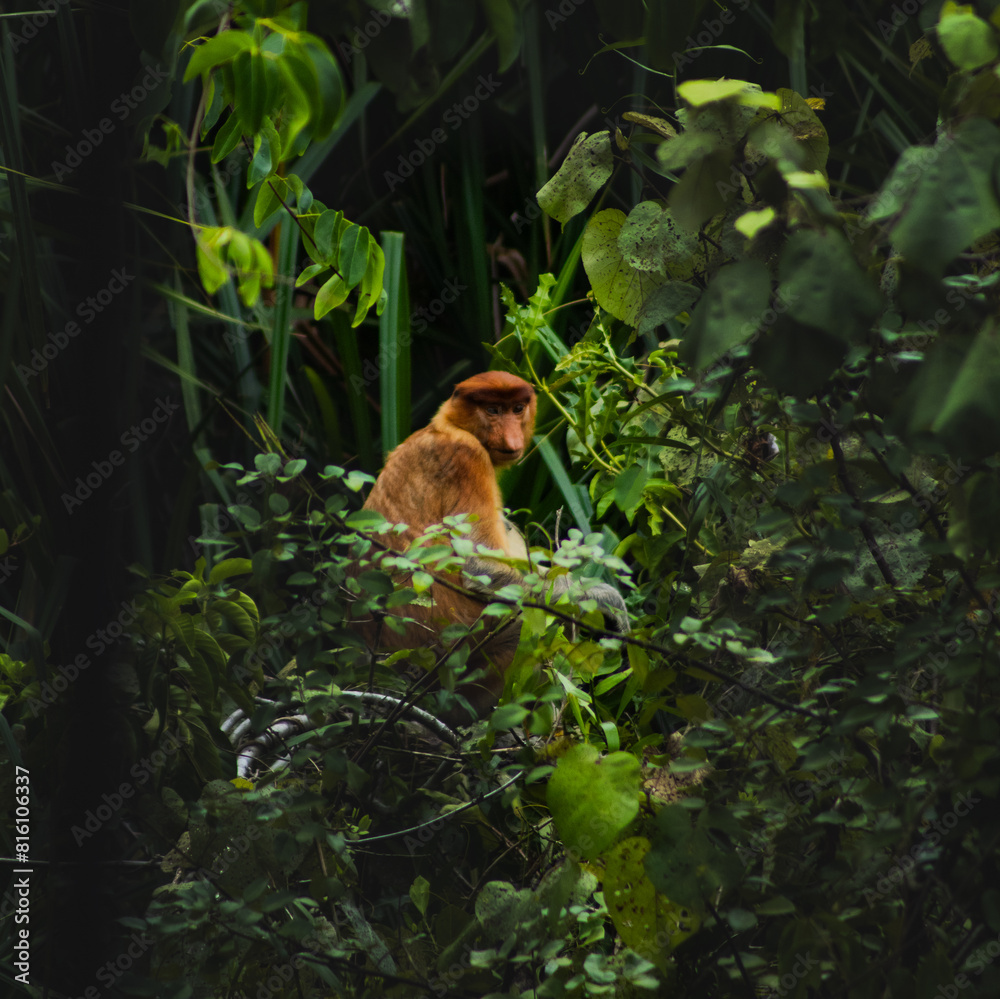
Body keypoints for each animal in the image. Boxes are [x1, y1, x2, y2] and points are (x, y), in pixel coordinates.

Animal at [355, 370, 628, 721]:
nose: (512, 439)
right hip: (460, 654)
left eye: (517, 409)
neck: (447, 425)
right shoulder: (468, 456)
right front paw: (605, 599)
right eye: (493, 410)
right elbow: (480, 567)